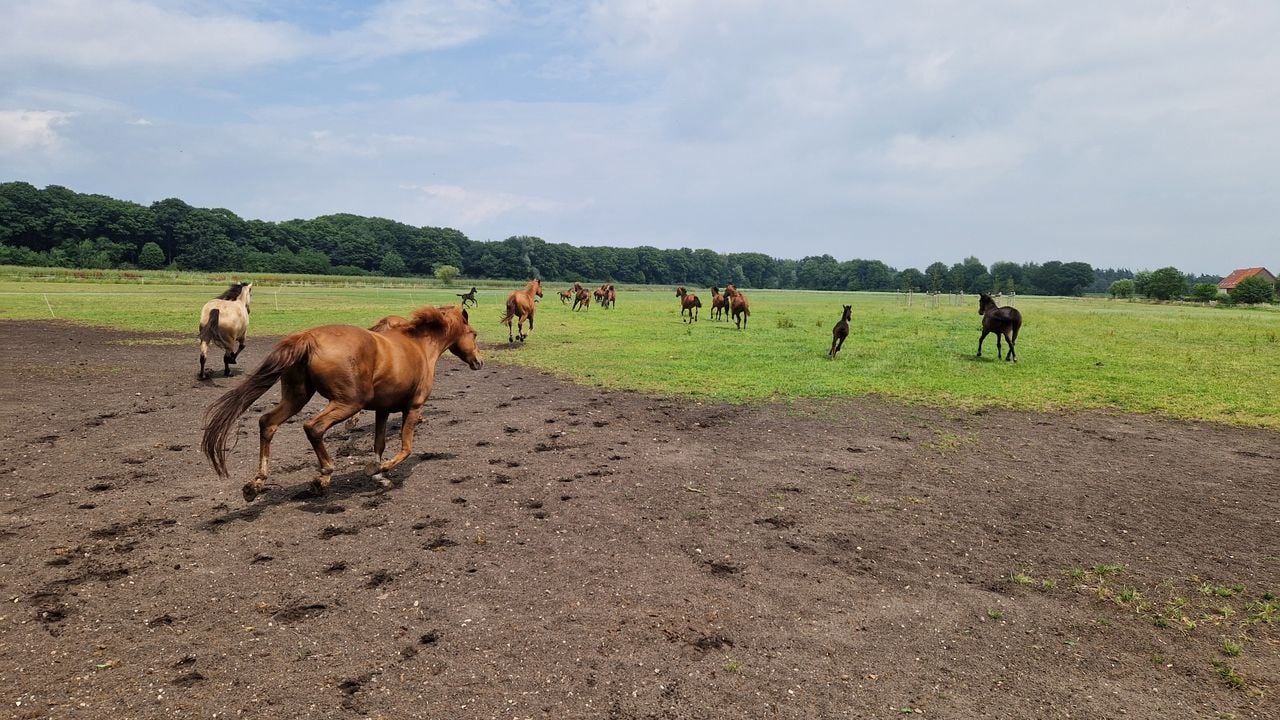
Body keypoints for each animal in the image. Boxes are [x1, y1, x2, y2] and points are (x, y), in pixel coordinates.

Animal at [201, 305, 482, 502]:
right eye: (474, 334)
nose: (479, 361)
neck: (420, 346)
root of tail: (308, 337)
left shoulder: (382, 410)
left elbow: (379, 444)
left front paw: (380, 476)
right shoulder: (413, 408)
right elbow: (405, 449)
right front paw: (377, 469)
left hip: (297, 397)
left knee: (267, 423)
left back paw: (256, 483)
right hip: (348, 403)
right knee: (313, 427)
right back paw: (323, 475)